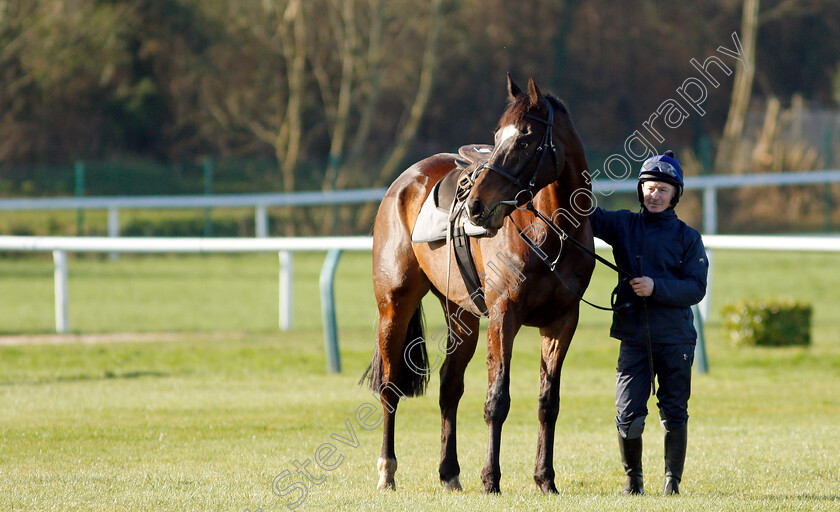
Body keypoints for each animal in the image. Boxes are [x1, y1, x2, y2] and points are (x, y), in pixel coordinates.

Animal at [364, 74, 592, 494]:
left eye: (524, 141)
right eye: (498, 137)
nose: (475, 206)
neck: (551, 232)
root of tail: (403, 182)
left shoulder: (562, 322)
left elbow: (547, 402)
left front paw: (545, 479)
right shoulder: (504, 316)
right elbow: (497, 400)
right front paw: (491, 478)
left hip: (462, 315)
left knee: (449, 385)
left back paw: (449, 472)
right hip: (394, 306)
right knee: (389, 386)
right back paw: (387, 470)